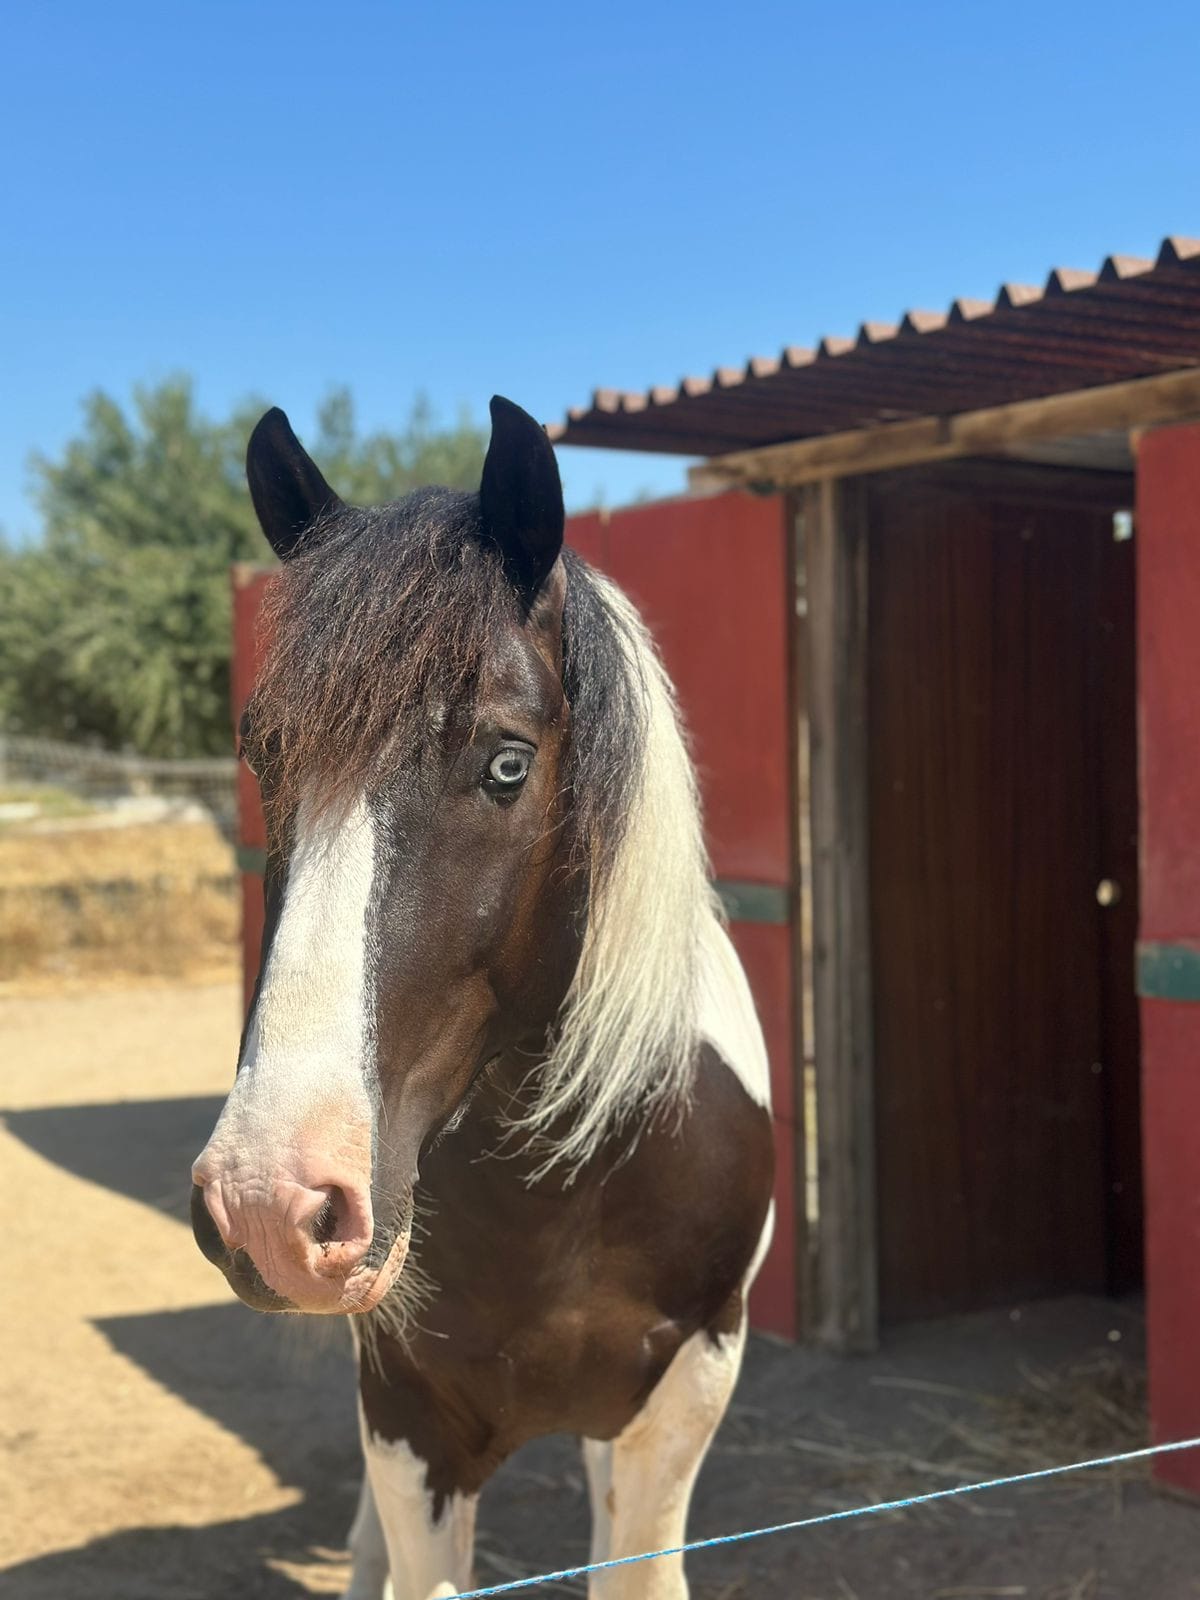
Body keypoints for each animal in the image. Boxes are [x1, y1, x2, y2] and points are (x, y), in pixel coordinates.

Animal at [190, 395, 776, 1600]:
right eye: (264, 756)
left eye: (508, 763)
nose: (268, 1200)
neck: (566, 1185)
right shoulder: (409, 1411)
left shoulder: (689, 1387)